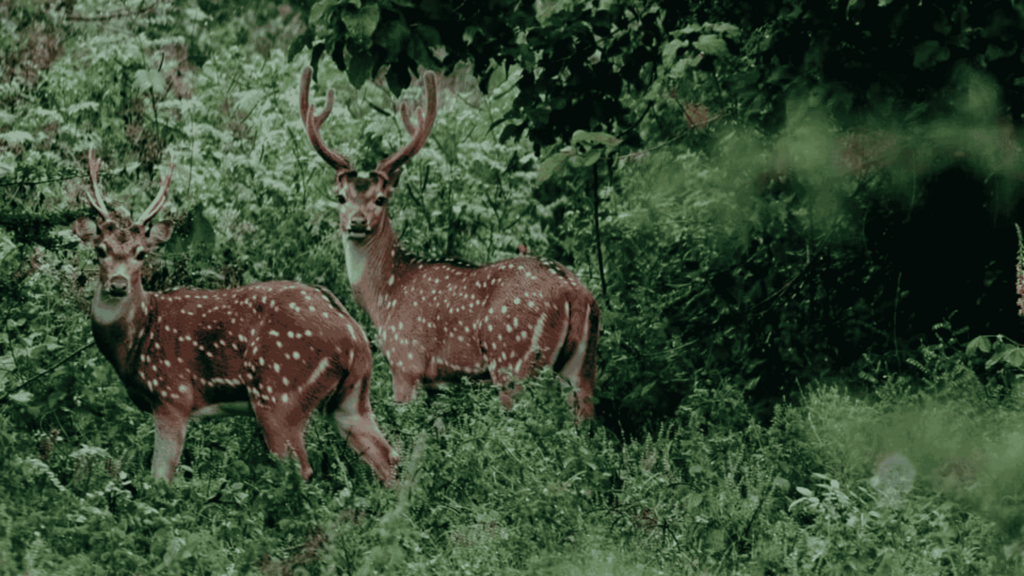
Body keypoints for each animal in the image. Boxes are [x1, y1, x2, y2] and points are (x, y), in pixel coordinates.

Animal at [72, 150, 397, 484]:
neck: (137, 338)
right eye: (100, 250)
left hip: (279, 393)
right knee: (388, 457)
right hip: (352, 397)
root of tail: (354, 334)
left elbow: (160, 478)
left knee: (301, 468)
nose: (118, 284)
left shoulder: (173, 396)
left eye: (141, 253)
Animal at [299, 67, 599, 420]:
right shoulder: (436, 383)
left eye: (381, 199)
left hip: (513, 357)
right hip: (584, 363)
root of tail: (574, 292)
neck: (385, 296)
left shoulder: (406, 361)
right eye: (341, 197)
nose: (357, 222)